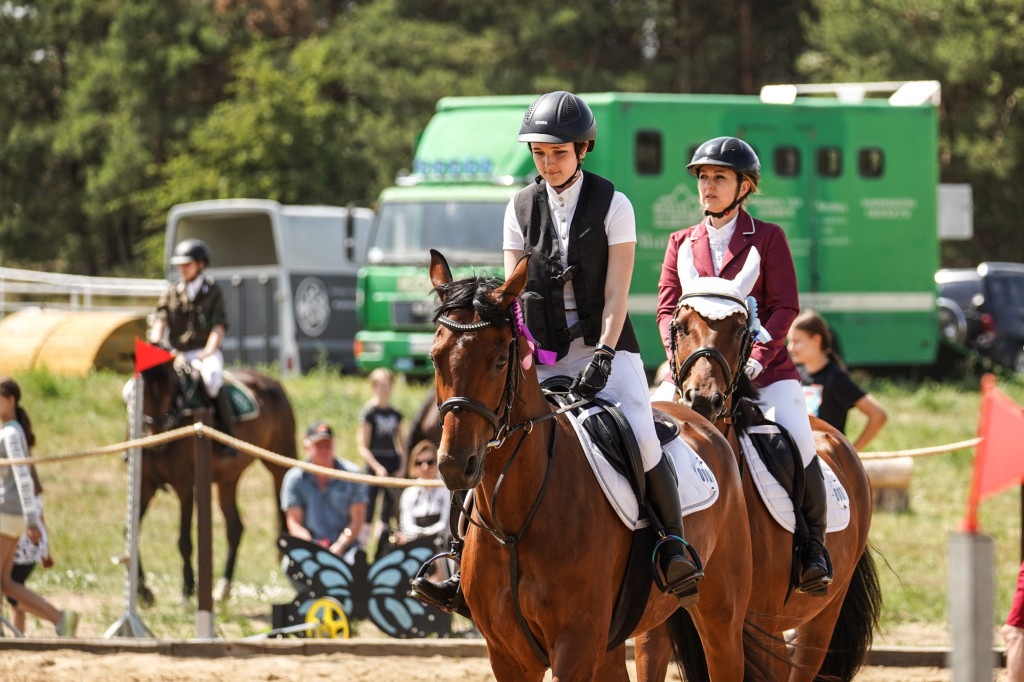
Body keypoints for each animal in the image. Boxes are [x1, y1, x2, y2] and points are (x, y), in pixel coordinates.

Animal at [137, 358, 296, 602]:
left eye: (168, 389)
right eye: (142, 391)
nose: (156, 437)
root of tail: (270, 381)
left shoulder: (185, 485)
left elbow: (184, 540)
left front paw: (187, 590)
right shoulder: (145, 486)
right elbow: (130, 532)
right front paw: (143, 591)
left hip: (280, 464)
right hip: (228, 479)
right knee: (235, 527)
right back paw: (223, 586)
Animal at [428, 249, 757, 679]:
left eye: (500, 361)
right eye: (435, 359)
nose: (455, 465)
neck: (515, 523)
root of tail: (703, 422)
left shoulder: (576, 644)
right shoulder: (507, 653)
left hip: (721, 617)